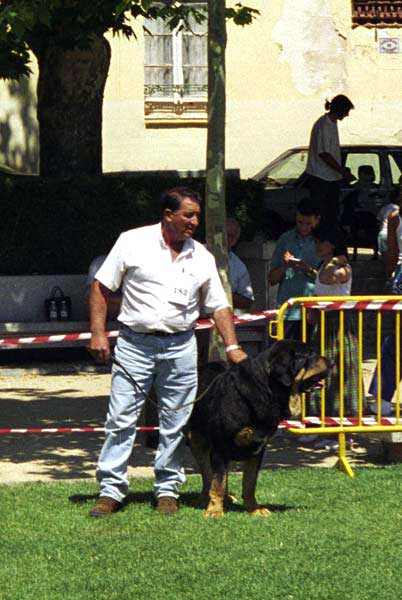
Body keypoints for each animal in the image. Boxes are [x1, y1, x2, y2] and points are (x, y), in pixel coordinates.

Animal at [187, 340, 328, 516]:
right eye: (309, 355)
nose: (331, 360)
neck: (267, 390)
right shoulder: (220, 446)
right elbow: (218, 481)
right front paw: (215, 511)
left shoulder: (258, 447)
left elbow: (249, 482)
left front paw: (253, 509)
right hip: (196, 440)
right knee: (207, 475)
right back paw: (205, 499)